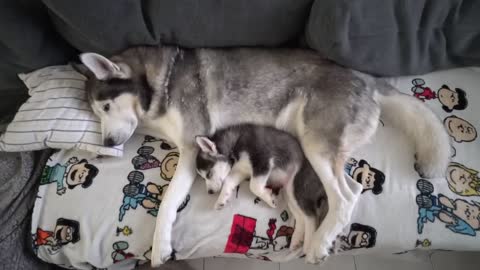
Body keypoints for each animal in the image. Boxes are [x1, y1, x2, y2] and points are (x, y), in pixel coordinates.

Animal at [194, 123, 326, 252]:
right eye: (203, 178)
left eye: (208, 174)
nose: (210, 192)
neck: (234, 145)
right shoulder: (240, 171)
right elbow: (228, 182)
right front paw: (221, 200)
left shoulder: (263, 158)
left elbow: (254, 186)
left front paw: (268, 197)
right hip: (289, 194)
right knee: (300, 216)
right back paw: (296, 240)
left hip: (299, 186)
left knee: (311, 216)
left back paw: (308, 246)